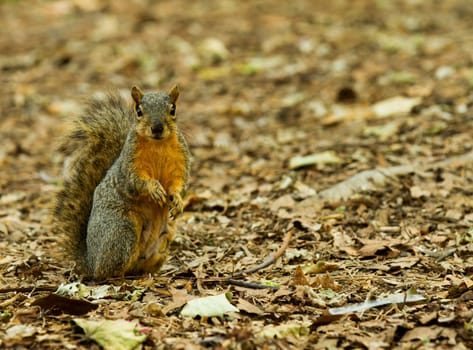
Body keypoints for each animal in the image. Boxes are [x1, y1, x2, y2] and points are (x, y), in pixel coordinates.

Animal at [53, 85, 190, 282]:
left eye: (173, 109)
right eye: (139, 111)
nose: (157, 128)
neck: (158, 145)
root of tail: (91, 262)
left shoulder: (180, 161)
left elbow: (180, 183)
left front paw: (178, 200)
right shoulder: (128, 167)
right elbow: (135, 182)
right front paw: (154, 188)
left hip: (164, 240)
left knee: (138, 266)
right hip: (122, 231)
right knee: (107, 272)